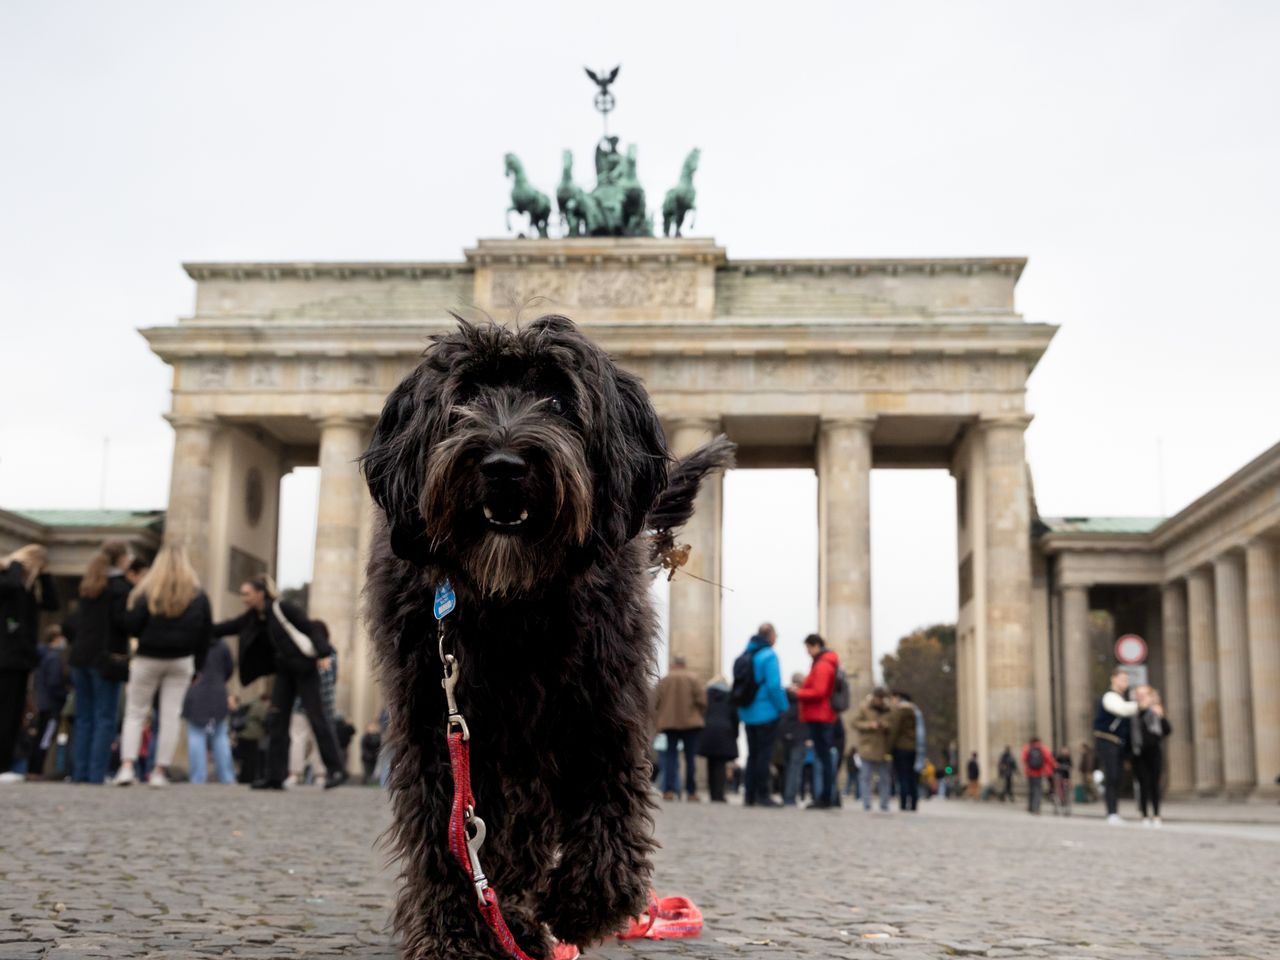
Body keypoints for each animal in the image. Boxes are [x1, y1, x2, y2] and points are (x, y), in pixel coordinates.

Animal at [360, 317, 737, 960]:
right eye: (464, 396)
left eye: (559, 399)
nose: (503, 464)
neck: (514, 605)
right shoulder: (436, 718)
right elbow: (447, 829)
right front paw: (456, 935)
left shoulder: (601, 706)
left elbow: (612, 801)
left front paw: (586, 905)